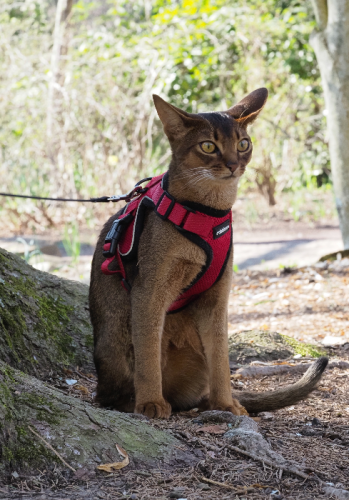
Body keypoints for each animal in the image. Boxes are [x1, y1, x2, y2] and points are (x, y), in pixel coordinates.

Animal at [89, 90, 326, 418]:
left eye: (243, 144)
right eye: (208, 146)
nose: (232, 164)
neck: (207, 214)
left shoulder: (217, 297)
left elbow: (221, 357)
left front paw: (225, 403)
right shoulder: (148, 291)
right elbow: (148, 355)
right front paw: (150, 403)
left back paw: (205, 402)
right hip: (119, 335)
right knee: (112, 391)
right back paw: (141, 401)